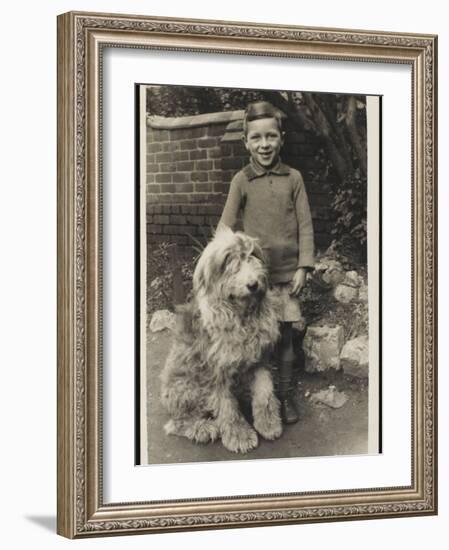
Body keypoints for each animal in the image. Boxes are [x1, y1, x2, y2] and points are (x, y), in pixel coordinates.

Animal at [159, 226, 282, 454]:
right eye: (229, 264)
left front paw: (268, 424)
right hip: (187, 389)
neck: (241, 315)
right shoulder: (216, 372)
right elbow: (227, 407)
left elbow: (265, 392)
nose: (253, 284)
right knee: (176, 424)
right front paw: (239, 436)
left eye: (252, 256)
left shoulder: (259, 359)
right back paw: (204, 428)